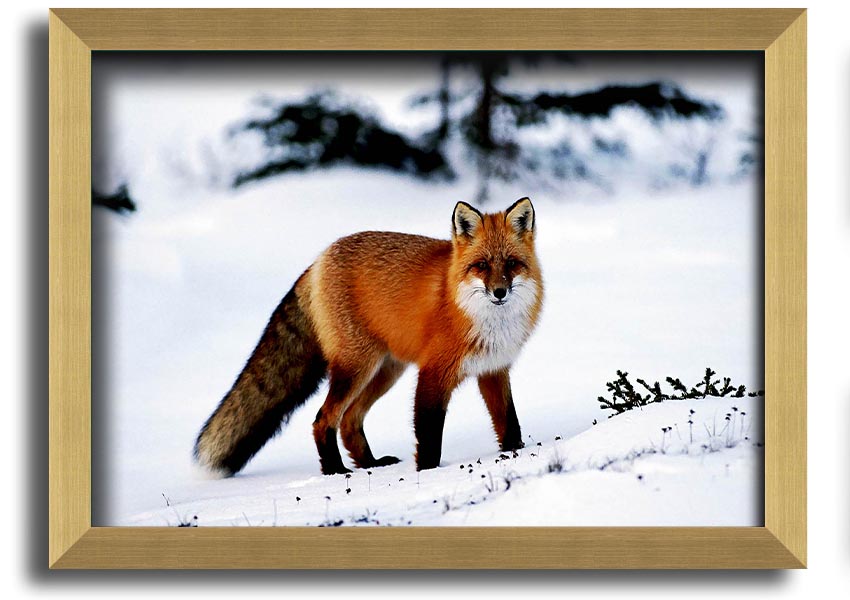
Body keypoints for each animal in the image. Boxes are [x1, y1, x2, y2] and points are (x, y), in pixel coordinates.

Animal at [194, 197, 544, 476]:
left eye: (512, 264)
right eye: (481, 265)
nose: (499, 292)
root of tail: (319, 259)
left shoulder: (493, 369)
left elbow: (509, 421)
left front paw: (515, 452)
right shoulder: (433, 373)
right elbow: (429, 434)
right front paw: (428, 473)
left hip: (385, 371)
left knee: (349, 420)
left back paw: (370, 464)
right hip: (356, 368)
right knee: (323, 419)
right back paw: (335, 471)